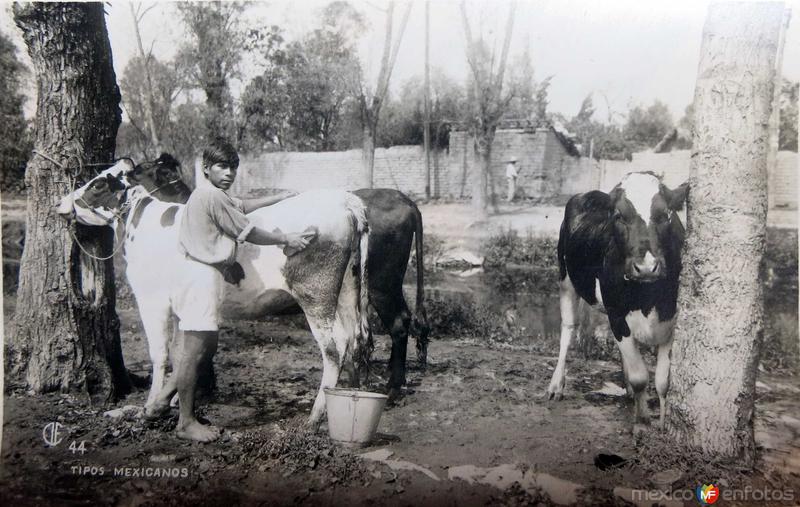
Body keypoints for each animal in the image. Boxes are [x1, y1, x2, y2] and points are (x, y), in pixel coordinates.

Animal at [57, 158, 370, 428]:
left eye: (97, 184)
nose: (62, 203)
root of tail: (345, 200)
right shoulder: (182, 306)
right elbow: (182, 353)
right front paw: (170, 402)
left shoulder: (152, 301)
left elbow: (160, 354)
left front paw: (150, 406)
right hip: (346, 290)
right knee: (352, 340)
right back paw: (350, 399)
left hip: (315, 295)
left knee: (332, 349)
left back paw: (315, 417)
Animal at [548, 173, 692, 426]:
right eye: (618, 216)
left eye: (665, 214)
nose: (646, 267)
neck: (648, 299)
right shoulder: (617, 315)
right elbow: (640, 377)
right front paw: (642, 422)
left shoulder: (670, 319)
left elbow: (663, 382)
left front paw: (663, 424)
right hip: (566, 278)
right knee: (568, 329)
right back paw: (557, 384)